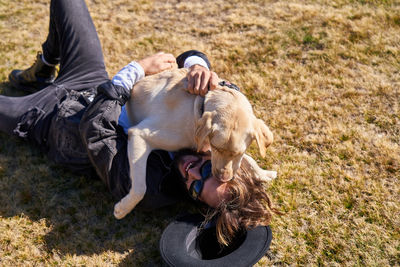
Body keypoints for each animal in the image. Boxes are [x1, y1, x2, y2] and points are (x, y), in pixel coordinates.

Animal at [112, 68, 276, 220]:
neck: (198, 108)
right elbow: (140, 187)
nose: (222, 178)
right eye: (216, 147)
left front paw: (263, 173)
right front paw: (123, 208)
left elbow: (249, 159)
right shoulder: (139, 134)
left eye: (239, 152)